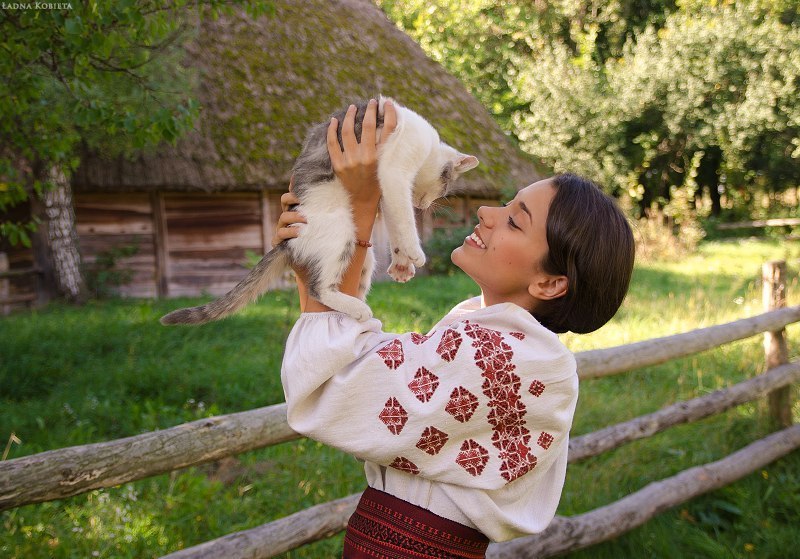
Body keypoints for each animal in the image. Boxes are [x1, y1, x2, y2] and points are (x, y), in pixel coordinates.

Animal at [159, 95, 478, 324]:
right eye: (445, 189)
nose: (423, 204)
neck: (427, 144)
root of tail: (286, 243)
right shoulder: (394, 173)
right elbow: (404, 219)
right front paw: (415, 252)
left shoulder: (386, 190)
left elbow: (396, 223)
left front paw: (402, 262)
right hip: (339, 232)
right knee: (318, 289)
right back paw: (356, 308)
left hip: (363, 257)